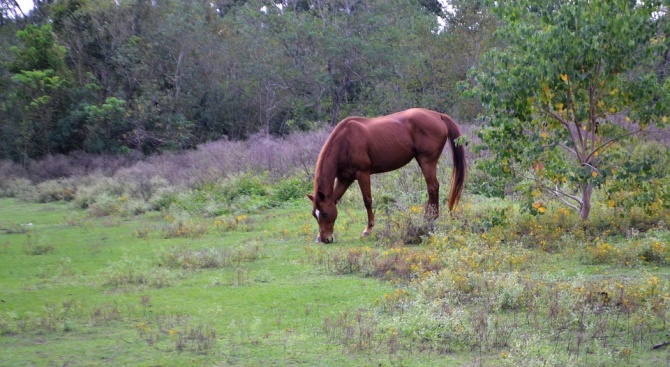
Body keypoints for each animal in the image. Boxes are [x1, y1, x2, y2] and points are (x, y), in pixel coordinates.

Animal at [308, 108, 468, 243]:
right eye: (314, 214)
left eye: (325, 213)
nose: (325, 239)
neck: (345, 140)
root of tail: (438, 115)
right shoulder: (345, 178)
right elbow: (335, 199)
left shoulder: (363, 173)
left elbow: (367, 200)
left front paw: (368, 229)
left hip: (427, 161)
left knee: (433, 187)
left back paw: (429, 219)